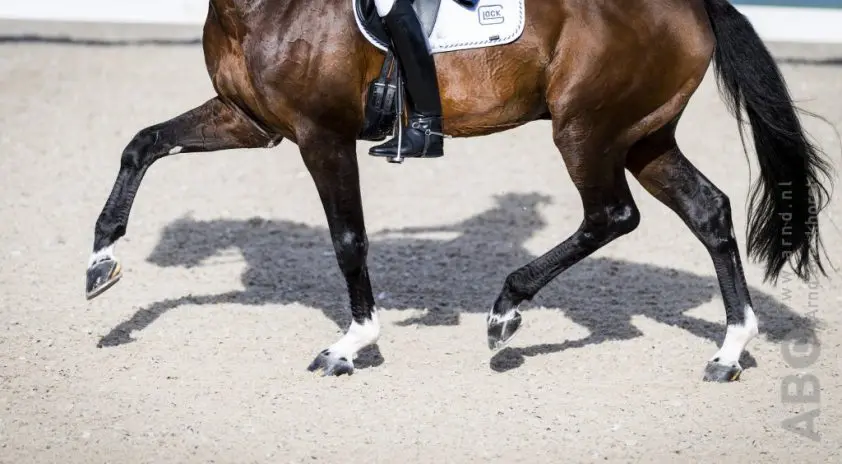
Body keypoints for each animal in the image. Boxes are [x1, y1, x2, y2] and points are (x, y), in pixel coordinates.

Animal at [85, 0, 833, 381]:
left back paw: (506, 311)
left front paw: (352, 344)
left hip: (587, 130)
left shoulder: (321, 135)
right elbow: (142, 143)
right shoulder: (250, 121)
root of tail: (693, 5)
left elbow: (348, 239)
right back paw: (729, 350)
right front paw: (101, 264)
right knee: (708, 211)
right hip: (643, 136)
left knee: (612, 214)